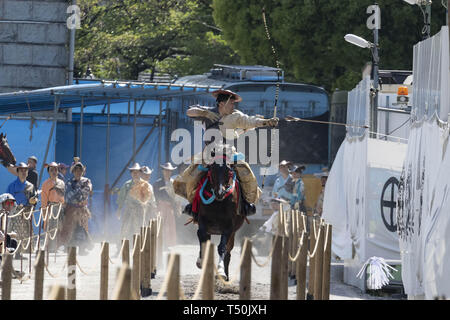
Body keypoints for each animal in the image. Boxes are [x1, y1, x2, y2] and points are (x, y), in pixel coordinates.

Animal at [196, 154, 246, 282]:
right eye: (212, 170)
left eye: (228, 171)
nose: (220, 192)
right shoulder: (202, 221)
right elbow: (202, 236)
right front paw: (201, 261)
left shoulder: (229, 227)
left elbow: (222, 247)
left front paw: (221, 271)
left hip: (232, 233)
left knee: (228, 252)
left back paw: (226, 277)